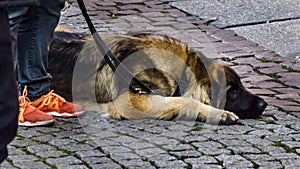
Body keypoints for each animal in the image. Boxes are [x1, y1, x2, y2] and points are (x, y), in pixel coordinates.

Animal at [47, 31, 268, 125]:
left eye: (241, 85)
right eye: (233, 91)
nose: (264, 104)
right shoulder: (132, 99)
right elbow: (183, 100)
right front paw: (219, 113)